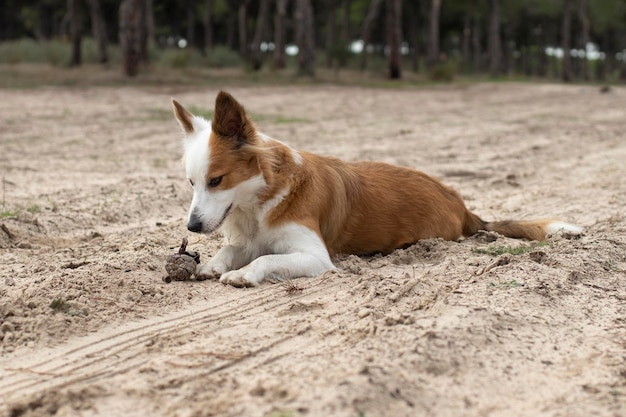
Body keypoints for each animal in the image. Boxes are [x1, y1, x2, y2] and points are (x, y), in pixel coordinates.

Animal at [172, 91, 580, 286]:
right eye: (192, 182)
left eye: (216, 180)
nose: (192, 227)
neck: (260, 203)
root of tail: (463, 206)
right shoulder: (250, 239)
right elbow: (232, 251)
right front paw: (213, 264)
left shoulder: (315, 257)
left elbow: (267, 259)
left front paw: (243, 274)